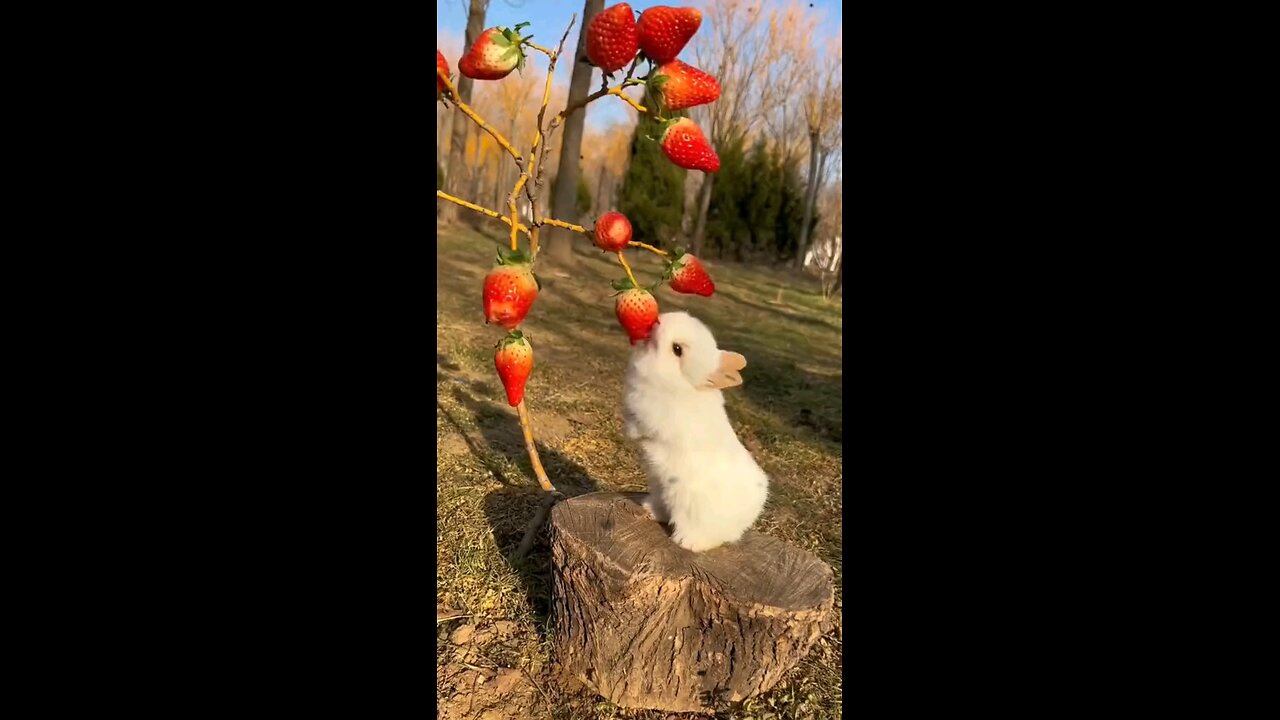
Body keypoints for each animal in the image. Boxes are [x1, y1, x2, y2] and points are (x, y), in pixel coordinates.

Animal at [622, 308, 762, 548]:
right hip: (661, 490)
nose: (658, 322)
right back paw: (650, 510)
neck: (679, 384)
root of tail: (742, 522)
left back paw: (686, 542)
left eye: (677, 349)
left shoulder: (650, 417)